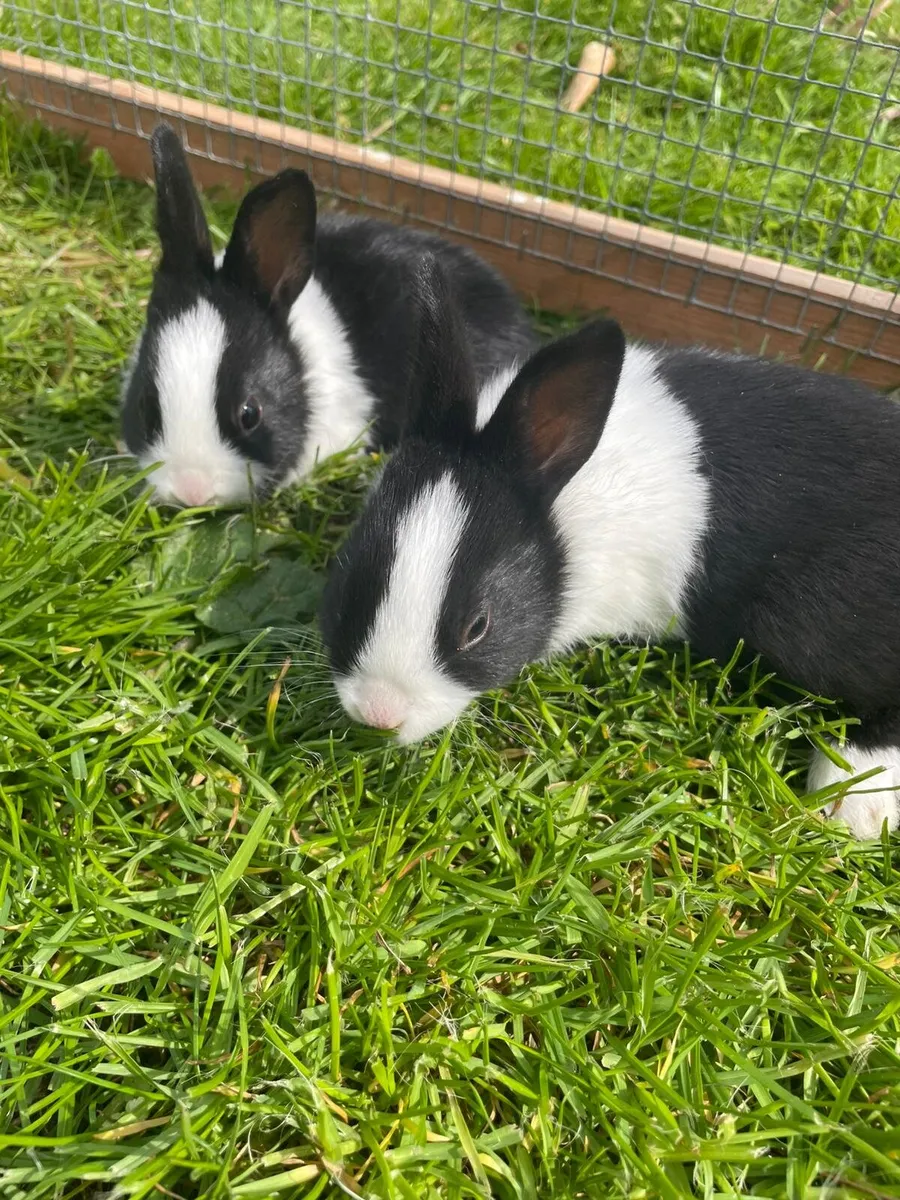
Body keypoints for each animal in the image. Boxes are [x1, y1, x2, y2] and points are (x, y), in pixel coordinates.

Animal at [320, 257, 900, 841]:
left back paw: (853, 802)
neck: (558, 513)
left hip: (801, 619)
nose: (378, 713)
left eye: (477, 627)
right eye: (346, 584)